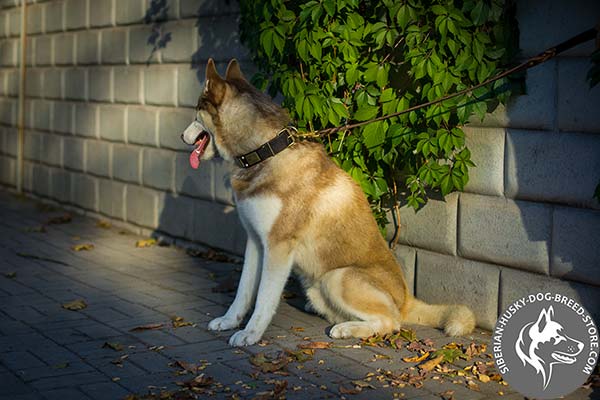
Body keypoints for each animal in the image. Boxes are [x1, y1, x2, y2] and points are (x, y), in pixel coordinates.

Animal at [180, 57, 476, 346]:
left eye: (195, 111)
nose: (181, 137)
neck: (265, 152)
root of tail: (406, 299)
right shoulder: (255, 241)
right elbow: (243, 291)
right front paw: (229, 321)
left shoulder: (278, 246)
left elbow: (264, 297)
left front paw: (251, 334)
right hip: (316, 287)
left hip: (338, 277)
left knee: (391, 322)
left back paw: (347, 329)